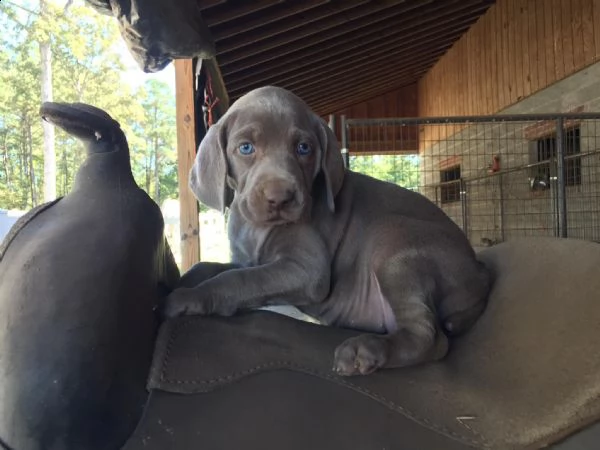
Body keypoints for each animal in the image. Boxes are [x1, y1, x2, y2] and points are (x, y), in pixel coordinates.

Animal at [162, 86, 490, 374]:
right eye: (245, 148)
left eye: (303, 148)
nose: (280, 197)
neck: (257, 228)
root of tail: (480, 273)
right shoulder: (246, 258)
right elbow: (214, 266)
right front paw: (189, 279)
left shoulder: (309, 271)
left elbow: (239, 279)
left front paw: (191, 297)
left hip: (395, 242)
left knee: (430, 337)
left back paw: (365, 350)